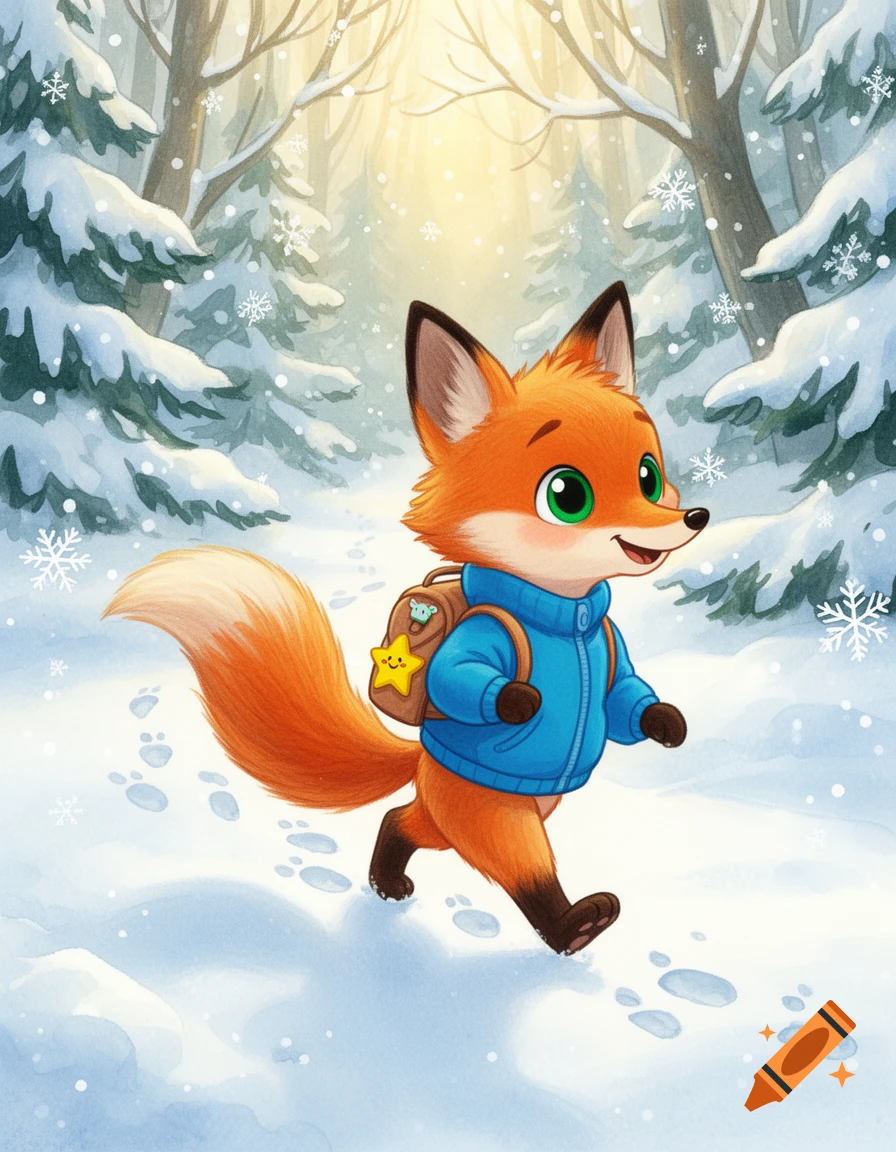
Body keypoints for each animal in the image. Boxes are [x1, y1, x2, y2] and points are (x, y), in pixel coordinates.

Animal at [104, 282, 708, 956]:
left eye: (649, 476)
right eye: (566, 496)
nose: (695, 518)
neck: (566, 616)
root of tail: (420, 759)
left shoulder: (611, 651)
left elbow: (625, 695)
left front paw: (664, 721)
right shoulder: (482, 640)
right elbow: (456, 677)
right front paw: (515, 700)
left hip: (492, 812)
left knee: (405, 819)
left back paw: (390, 876)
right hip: (486, 811)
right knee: (500, 856)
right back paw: (573, 925)